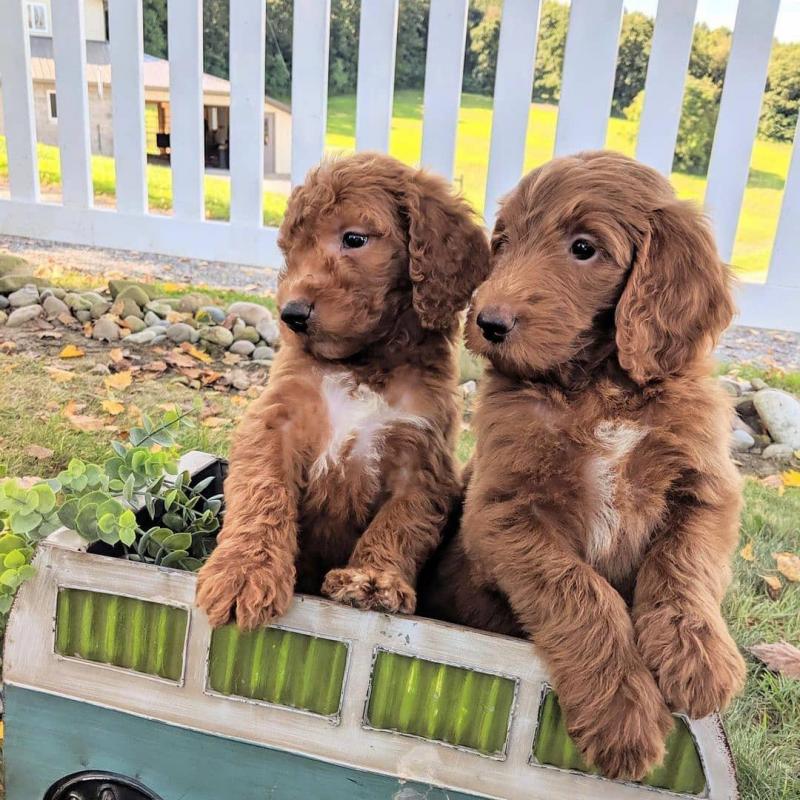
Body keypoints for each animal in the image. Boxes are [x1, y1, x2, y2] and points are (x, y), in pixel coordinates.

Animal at [197, 153, 490, 632]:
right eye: (290, 250)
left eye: (354, 239)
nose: (291, 314)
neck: (363, 364)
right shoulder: (276, 421)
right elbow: (263, 494)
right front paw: (245, 572)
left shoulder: (422, 458)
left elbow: (400, 522)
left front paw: (372, 579)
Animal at [422, 150, 748, 780]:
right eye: (503, 243)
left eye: (583, 248)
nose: (488, 322)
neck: (600, 390)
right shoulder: (503, 513)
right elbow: (582, 593)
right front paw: (624, 714)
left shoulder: (705, 487)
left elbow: (683, 563)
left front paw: (697, 657)